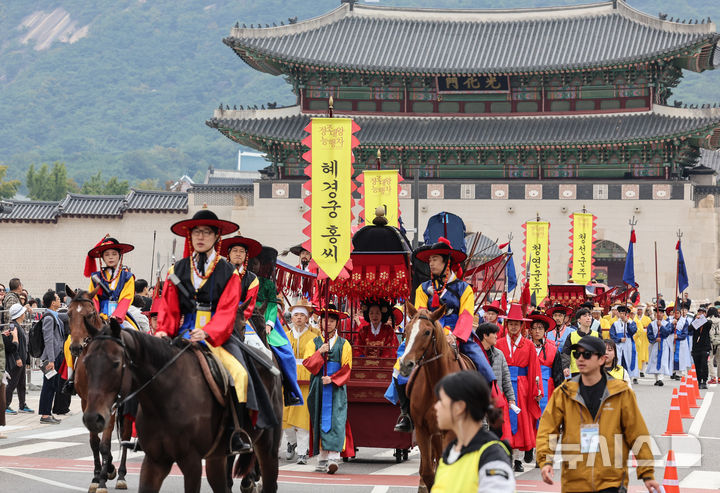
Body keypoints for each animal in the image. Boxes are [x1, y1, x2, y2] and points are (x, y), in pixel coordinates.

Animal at [67, 286, 134, 492]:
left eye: (90, 314)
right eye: (69, 314)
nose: (75, 347)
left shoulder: (110, 404)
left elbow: (105, 443)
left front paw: (105, 478)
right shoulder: (86, 402)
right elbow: (94, 442)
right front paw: (98, 476)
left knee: (126, 435)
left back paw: (121, 475)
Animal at [400, 302, 466, 490]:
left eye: (427, 332)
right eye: (407, 329)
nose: (405, 364)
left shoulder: (450, 431)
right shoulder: (423, 429)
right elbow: (429, 473)